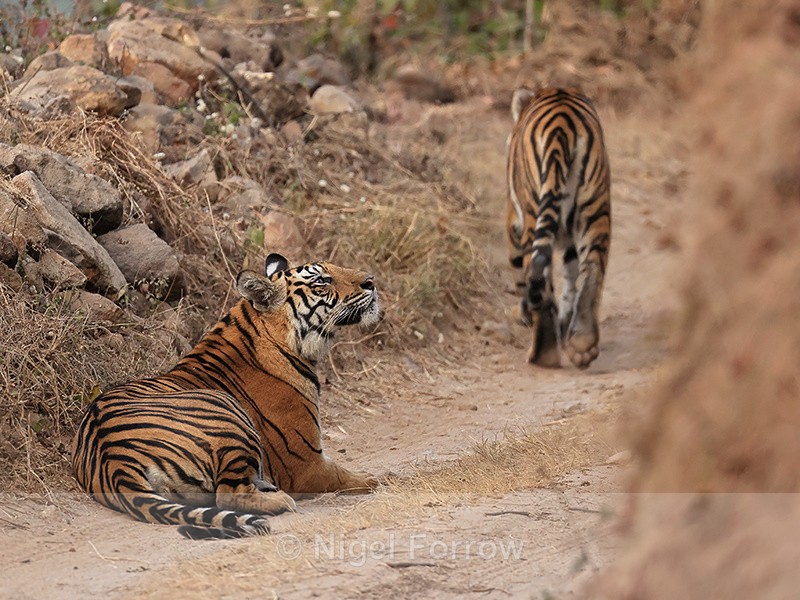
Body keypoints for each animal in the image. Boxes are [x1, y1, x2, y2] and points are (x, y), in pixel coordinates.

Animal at [72, 253, 381, 539]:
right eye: (321, 281)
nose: (371, 281)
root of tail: (113, 457)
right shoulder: (305, 463)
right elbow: (351, 476)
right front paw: (380, 478)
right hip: (228, 414)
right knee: (228, 494)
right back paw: (280, 499)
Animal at [506, 87, 611, 369]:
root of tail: (562, 125)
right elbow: (572, 274)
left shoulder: (513, 220)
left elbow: (520, 273)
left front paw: (522, 313)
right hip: (595, 209)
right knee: (593, 269)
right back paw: (583, 344)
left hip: (533, 215)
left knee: (536, 273)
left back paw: (543, 354)